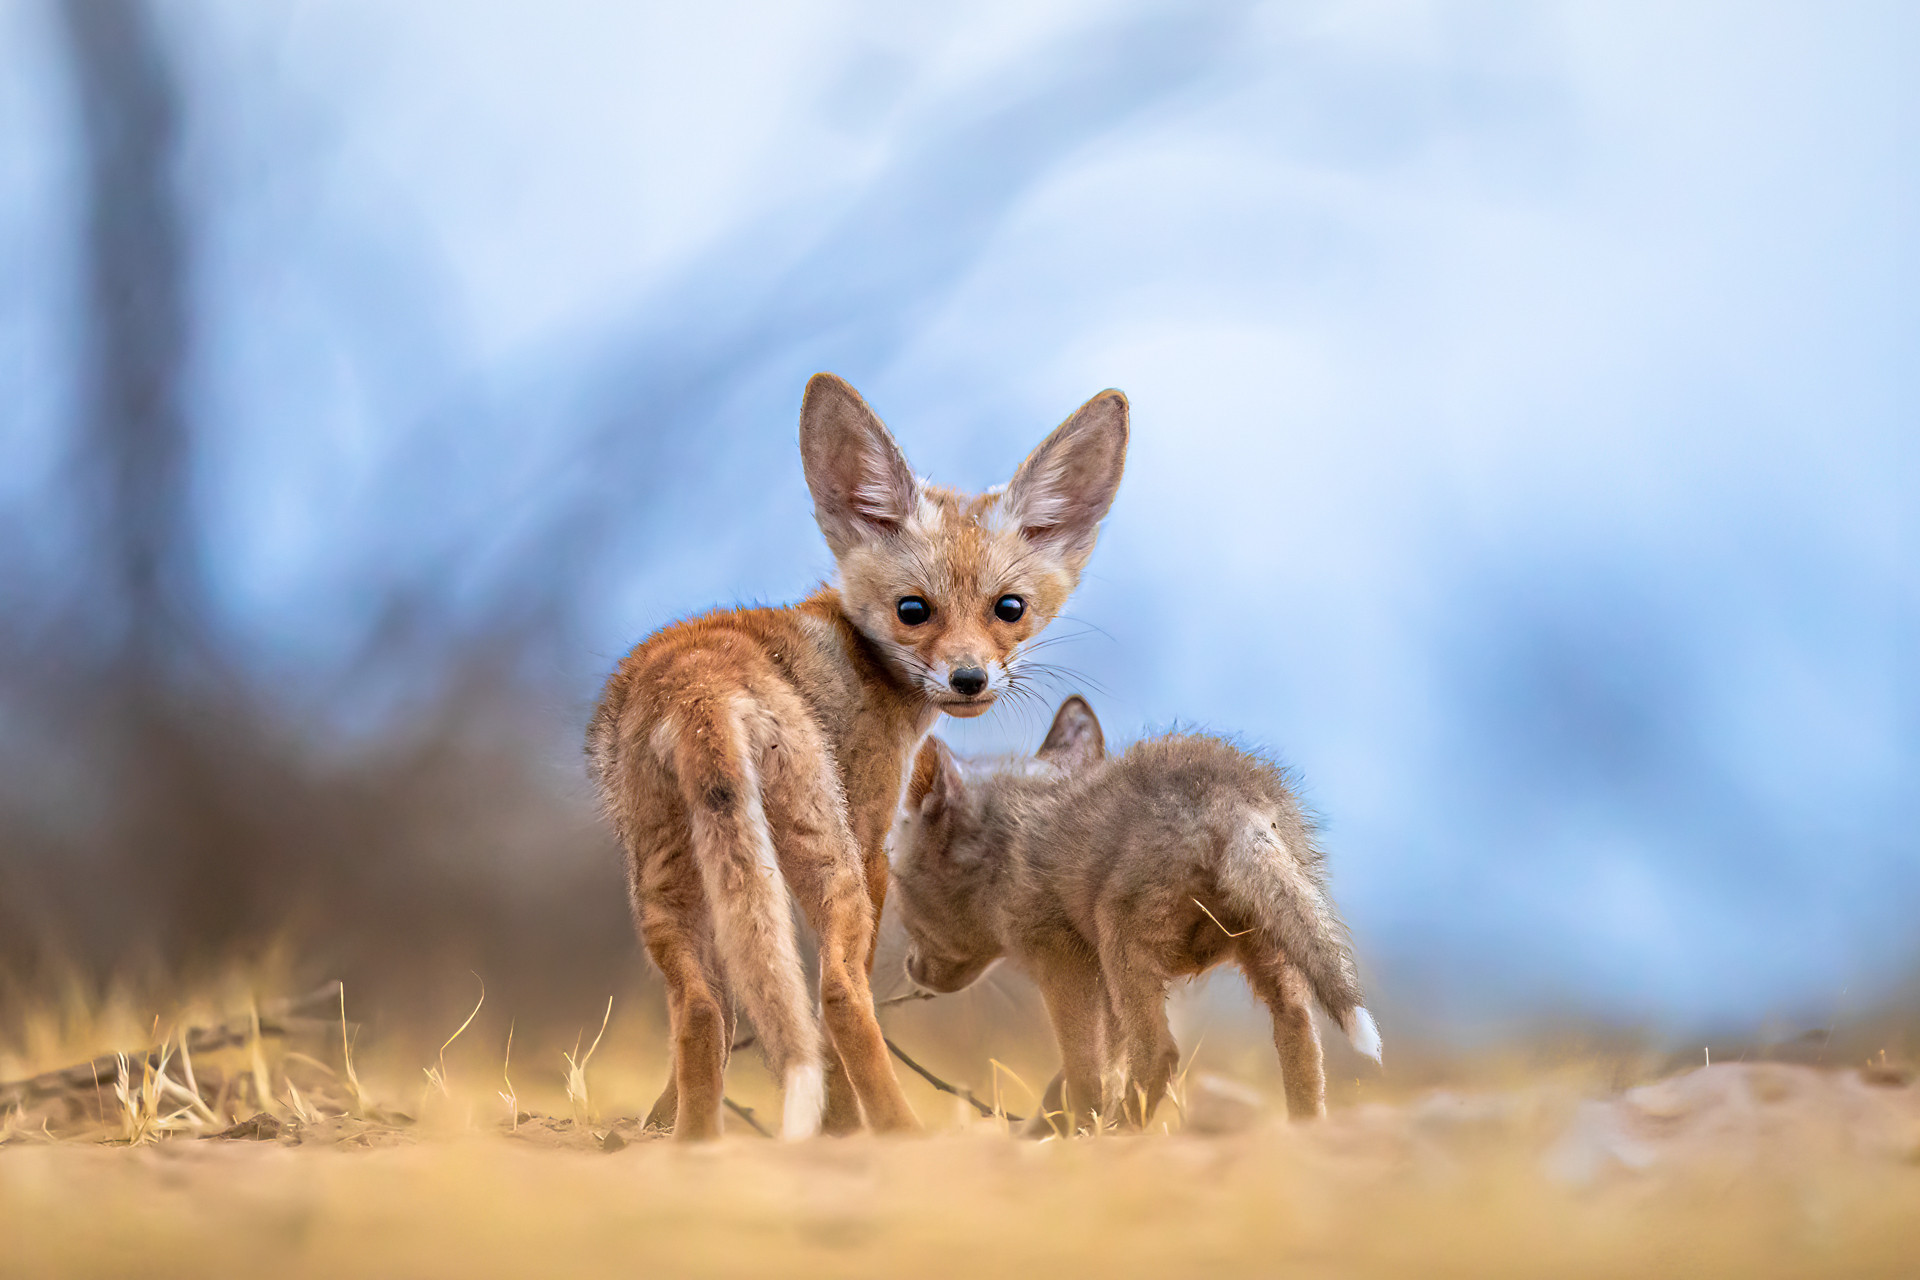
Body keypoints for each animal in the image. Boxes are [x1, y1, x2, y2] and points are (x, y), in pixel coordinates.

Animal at [586, 374, 1128, 1140]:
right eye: (913, 610)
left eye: (1009, 608)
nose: (969, 680)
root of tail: (698, 681)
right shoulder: (872, 847)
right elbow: (848, 1004)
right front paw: (843, 1130)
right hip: (825, 857)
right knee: (838, 997)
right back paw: (902, 1132)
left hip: (665, 877)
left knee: (702, 1011)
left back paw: (692, 1140)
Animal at [889, 695, 1380, 1134]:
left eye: (895, 884)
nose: (910, 968)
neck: (1004, 849)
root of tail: (1228, 797)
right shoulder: (1101, 983)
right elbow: (1090, 1073)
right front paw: (1052, 1128)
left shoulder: (1064, 959)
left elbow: (1084, 1071)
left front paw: (1072, 1134)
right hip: (1272, 946)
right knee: (1301, 1036)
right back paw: (1304, 1132)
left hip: (1124, 941)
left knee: (1161, 1053)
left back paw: (1122, 1135)